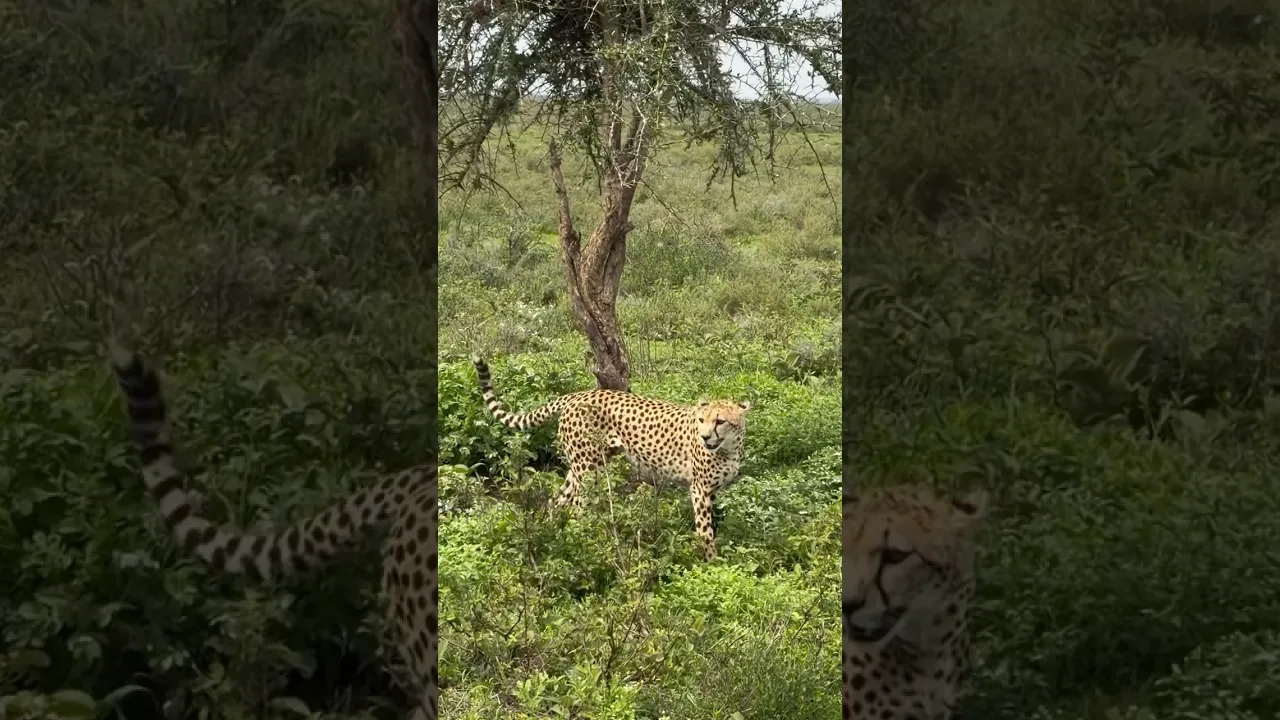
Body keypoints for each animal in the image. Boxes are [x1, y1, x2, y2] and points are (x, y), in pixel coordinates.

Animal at [471, 355, 750, 560]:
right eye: (701, 420)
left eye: (720, 421)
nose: (705, 437)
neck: (728, 447)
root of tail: (577, 394)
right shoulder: (699, 489)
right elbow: (705, 531)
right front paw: (711, 563)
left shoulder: (712, 490)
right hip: (589, 470)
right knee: (577, 508)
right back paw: (585, 546)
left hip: (582, 466)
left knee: (555, 502)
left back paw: (551, 537)